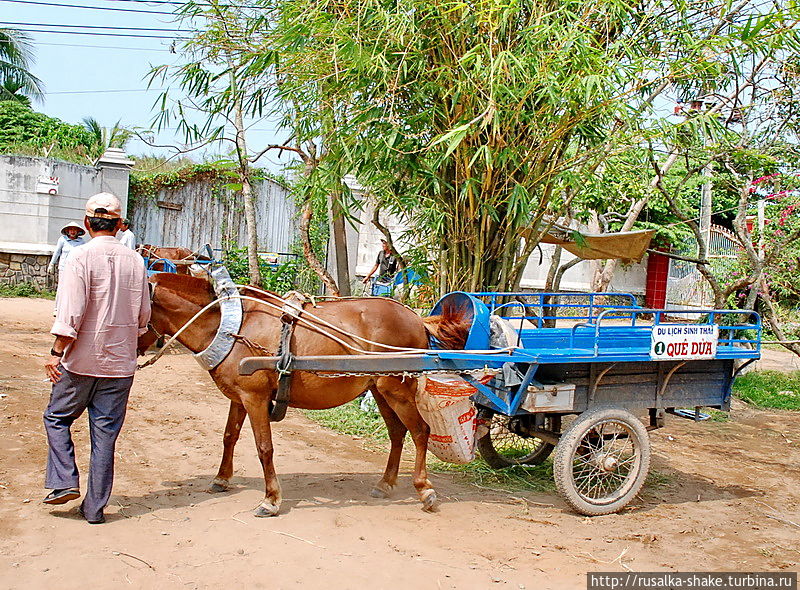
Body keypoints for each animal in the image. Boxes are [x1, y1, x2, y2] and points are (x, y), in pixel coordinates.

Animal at [142, 274, 444, 520]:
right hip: (379, 389)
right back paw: (385, 484)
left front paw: (271, 500)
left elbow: (264, 447)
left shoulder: (254, 398)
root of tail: (417, 318)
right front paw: (222, 479)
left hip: (397, 388)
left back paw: (425, 490)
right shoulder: (239, 398)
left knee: (420, 431)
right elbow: (229, 436)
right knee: (397, 433)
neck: (232, 324)